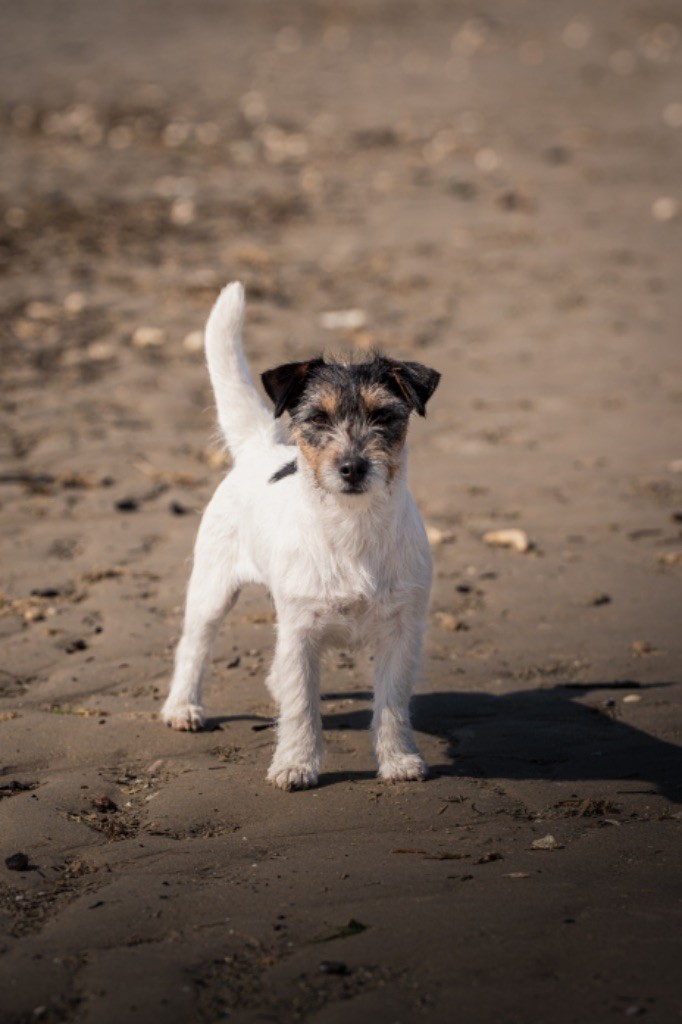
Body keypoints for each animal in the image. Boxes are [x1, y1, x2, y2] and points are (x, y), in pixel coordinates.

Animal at [163, 282, 440, 790]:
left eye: (383, 416)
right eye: (318, 418)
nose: (352, 467)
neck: (351, 527)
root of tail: (259, 446)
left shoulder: (401, 633)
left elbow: (392, 705)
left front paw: (398, 760)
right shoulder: (300, 634)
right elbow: (300, 708)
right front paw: (295, 763)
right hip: (211, 589)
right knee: (193, 646)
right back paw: (182, 706)